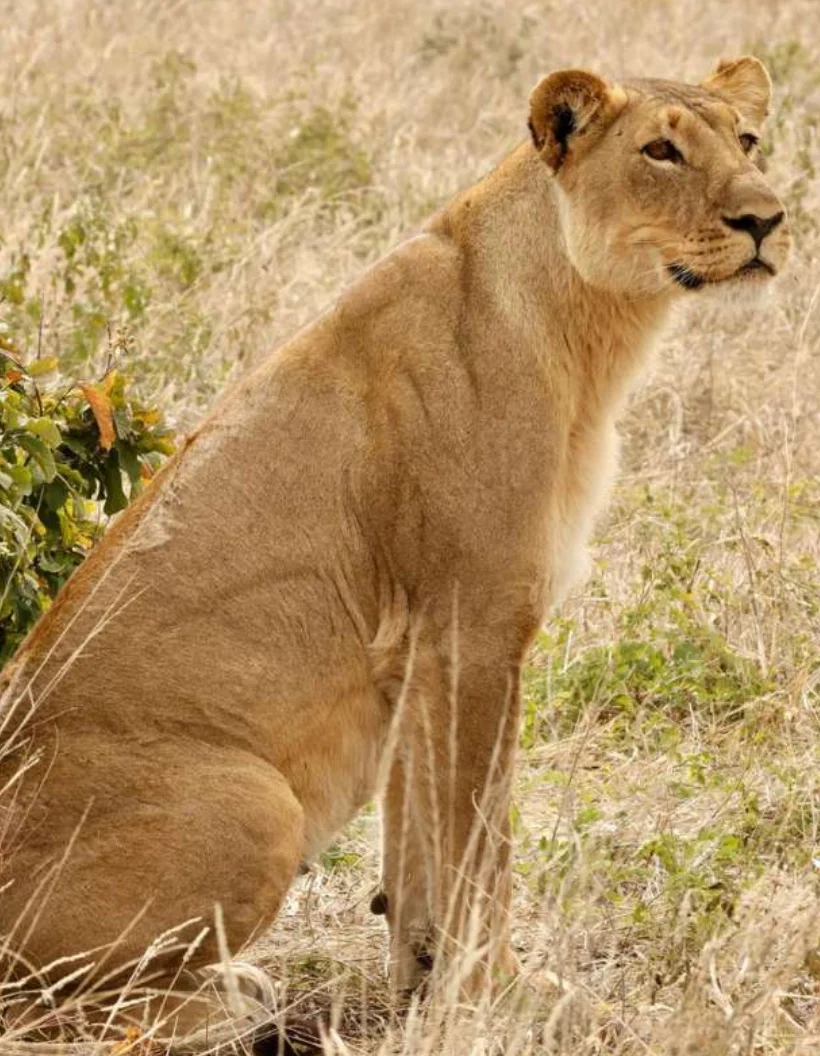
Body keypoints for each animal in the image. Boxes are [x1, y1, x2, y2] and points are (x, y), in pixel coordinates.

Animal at [0, 56, 789, 1049]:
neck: (589, 327)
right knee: (45, 1007)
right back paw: (222, 1004)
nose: (768, 219)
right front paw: (499, 997)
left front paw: (425, 985)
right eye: (661, 151)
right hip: (259, 799)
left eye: (748, 141)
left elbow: (419, 843)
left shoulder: (420, 649)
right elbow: (479, 840)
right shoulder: (476, 623)